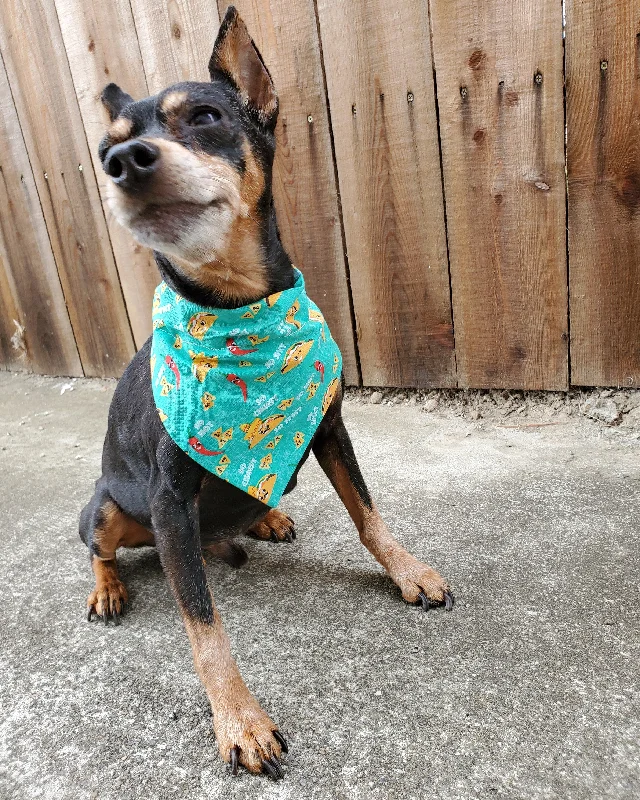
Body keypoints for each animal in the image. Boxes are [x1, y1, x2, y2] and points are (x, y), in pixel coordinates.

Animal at [80, 7, 452, 780]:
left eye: (205, 115)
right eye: (105, 148)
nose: (125, 163)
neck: (238, 307)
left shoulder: (330, 428)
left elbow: (370, 517)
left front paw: (408, 572)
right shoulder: (168, 498)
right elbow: (203, 624)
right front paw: (240, 722)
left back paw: (262, 520)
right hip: (106, 509)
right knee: (101, 546)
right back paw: (109, 587)